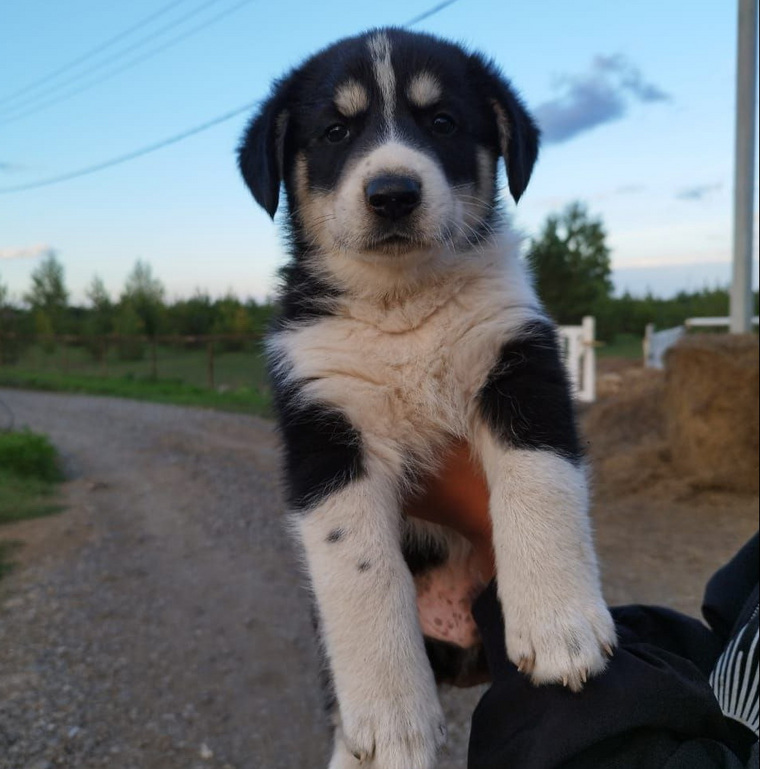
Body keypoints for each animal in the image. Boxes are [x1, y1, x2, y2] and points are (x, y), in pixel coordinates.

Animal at [238, 27, 616, 768]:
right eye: (335, 130)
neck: (401, 305)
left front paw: (561, 625)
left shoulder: (520, 362)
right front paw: (392, 718)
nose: (392, 192)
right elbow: (360, 570)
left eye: (442, 122)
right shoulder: (323, 429)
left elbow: (540, 484)